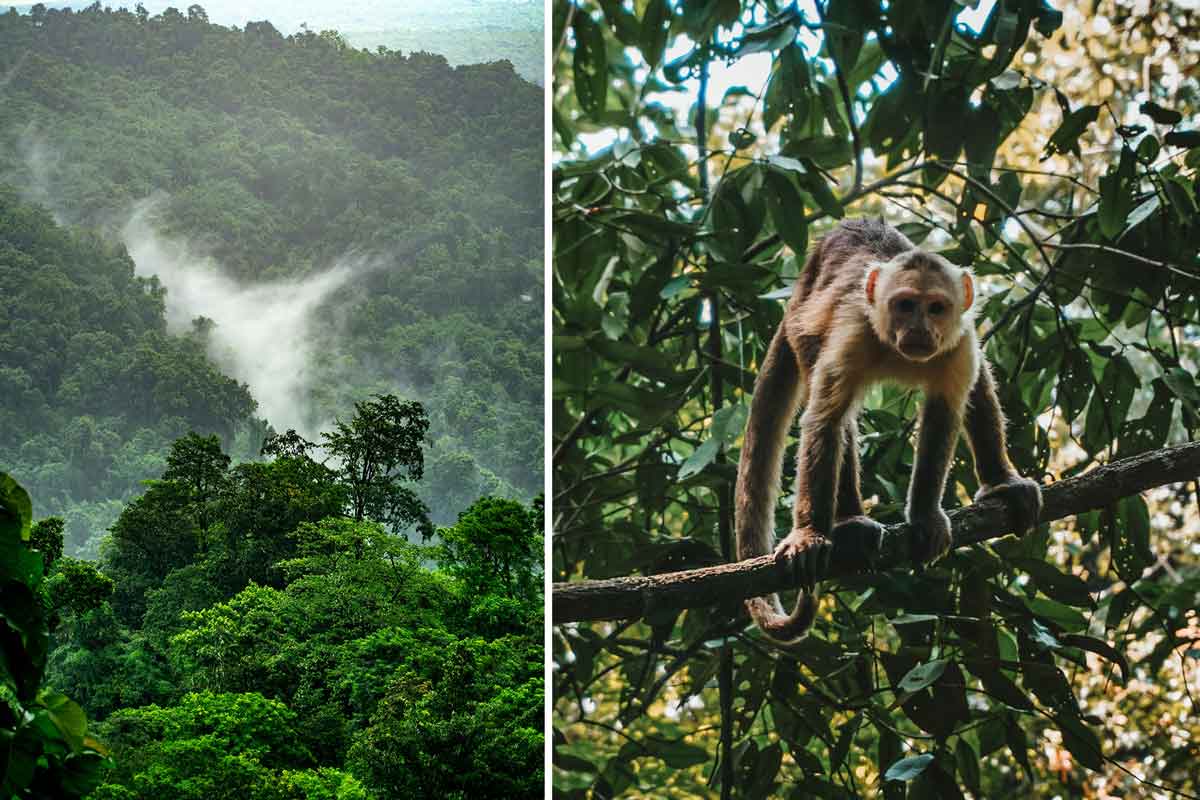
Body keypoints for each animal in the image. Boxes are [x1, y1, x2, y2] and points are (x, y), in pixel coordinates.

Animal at [729, 217, 1041, 642]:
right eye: (905, 305)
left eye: (936, 308)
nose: (919, 329)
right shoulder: (856, 331)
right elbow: (825, 419)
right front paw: (809, 533)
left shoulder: (958, 341)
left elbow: (946, 412)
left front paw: (925, 516)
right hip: (802, 329)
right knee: (834, 414)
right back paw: (849, 523)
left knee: (977, 385)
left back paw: (1002, 481)